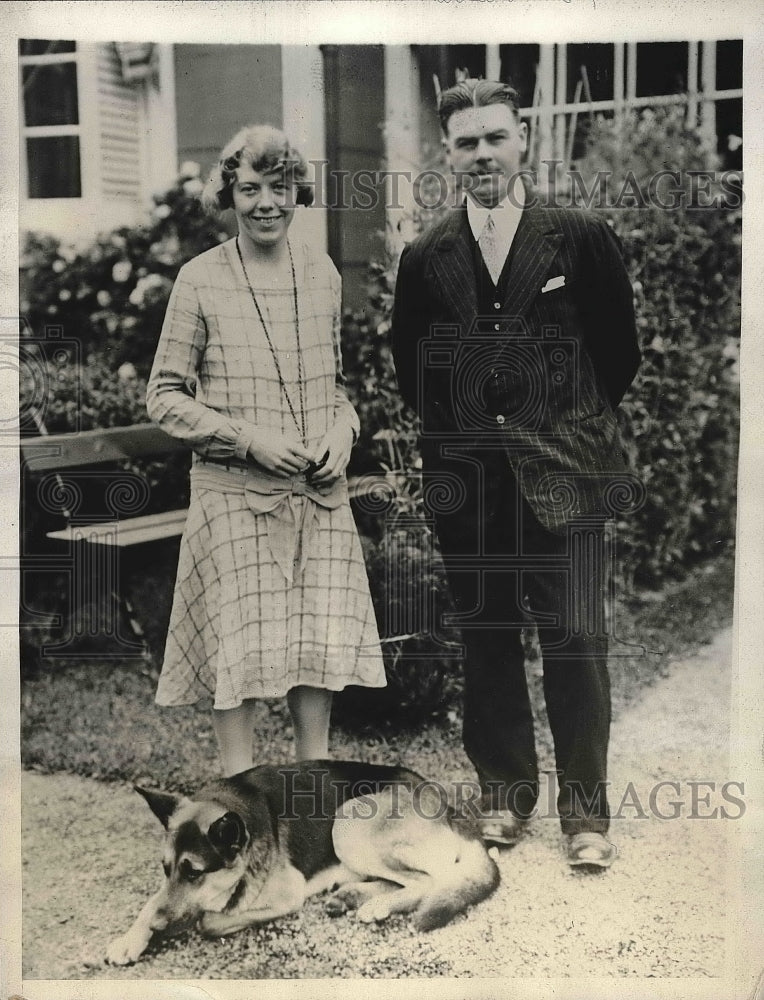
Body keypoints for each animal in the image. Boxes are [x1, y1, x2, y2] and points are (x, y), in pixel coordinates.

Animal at [107, 760, 502, 964]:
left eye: (196, 874)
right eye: (166, 869)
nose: (158, 929)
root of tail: (451, 807)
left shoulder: (287, 895)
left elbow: (210, 920)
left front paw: (206, 916)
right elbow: (153, 901)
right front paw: (131, 938)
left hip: (349, 821)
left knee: (429, 880)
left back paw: (379, 905)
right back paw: (351, 896)